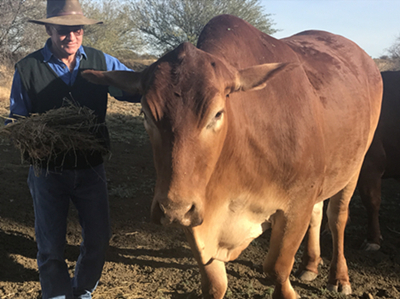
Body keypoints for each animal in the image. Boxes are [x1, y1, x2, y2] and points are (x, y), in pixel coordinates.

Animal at [81, 15, 382, 299]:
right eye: (145, 114)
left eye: (217, 113)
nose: (171, 210)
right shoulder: (198, 213)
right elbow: (215, 284)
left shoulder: (297, 203)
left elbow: (276, 269)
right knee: (319, 214)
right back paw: (309, 265)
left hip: (355, 166)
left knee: (337, 217)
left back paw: (339, 277)